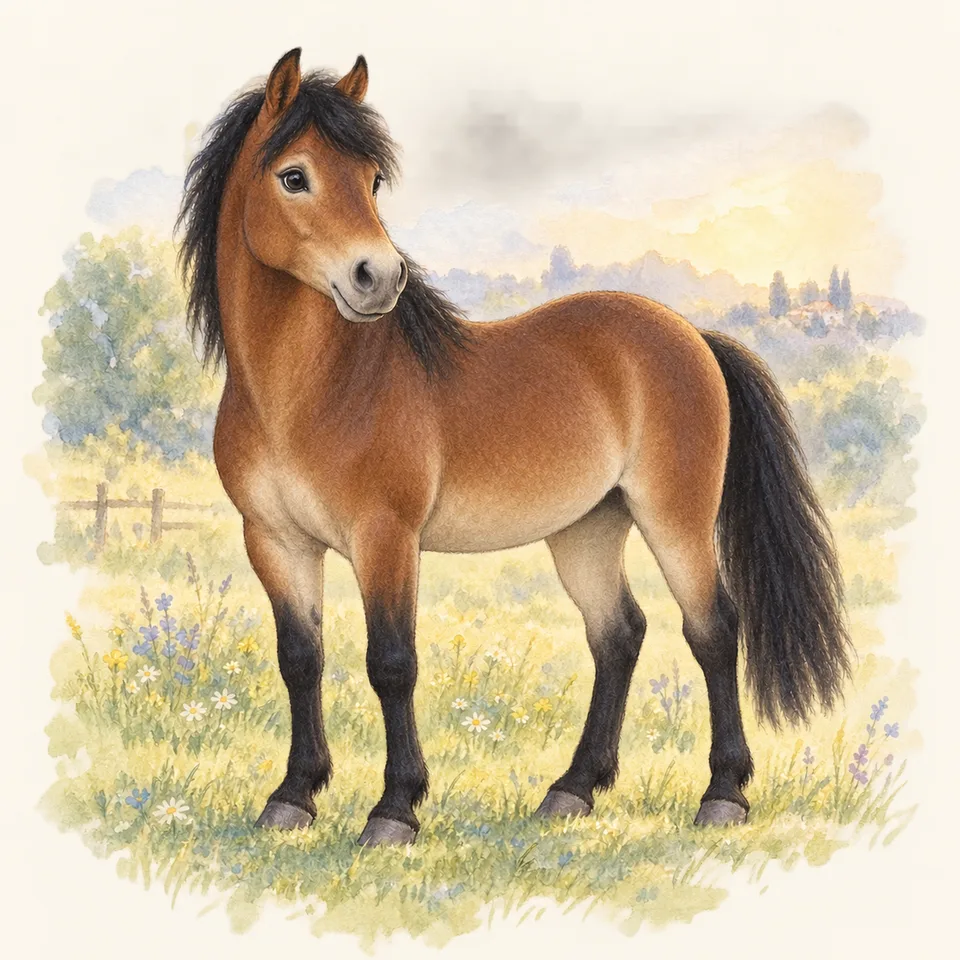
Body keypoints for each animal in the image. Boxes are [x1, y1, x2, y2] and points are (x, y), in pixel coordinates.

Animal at [177, 48, 851, 847]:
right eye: (293, 176)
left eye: (371, 180)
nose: (378, 278)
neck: (309, 391)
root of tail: (691, 336)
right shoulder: (275, 541)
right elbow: (301, 660)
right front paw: (292, 797)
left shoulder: (384, 537)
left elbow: (391, 663)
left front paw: (394, 810)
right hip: (587, 527)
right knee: (618, 634)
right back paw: (572, 790)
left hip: (674, 519)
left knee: (713, 630)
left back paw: (722, 795)